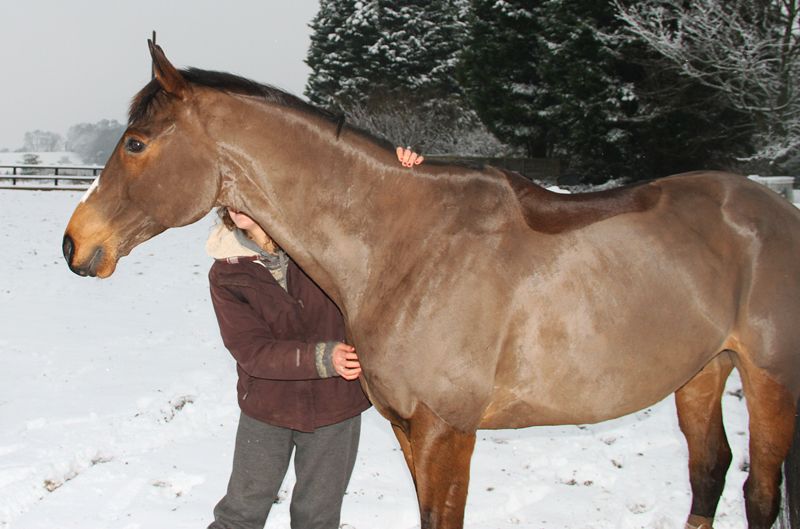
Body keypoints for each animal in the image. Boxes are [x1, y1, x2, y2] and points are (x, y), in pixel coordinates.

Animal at [63, 41, 800, 529]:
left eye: (136, 143)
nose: (75, 242)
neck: (406, 248)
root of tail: (774, 208)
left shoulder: (448, 431)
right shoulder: (408, 427)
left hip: (769, 380)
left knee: (758, 493)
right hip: (702, 371)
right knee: (709, 474)